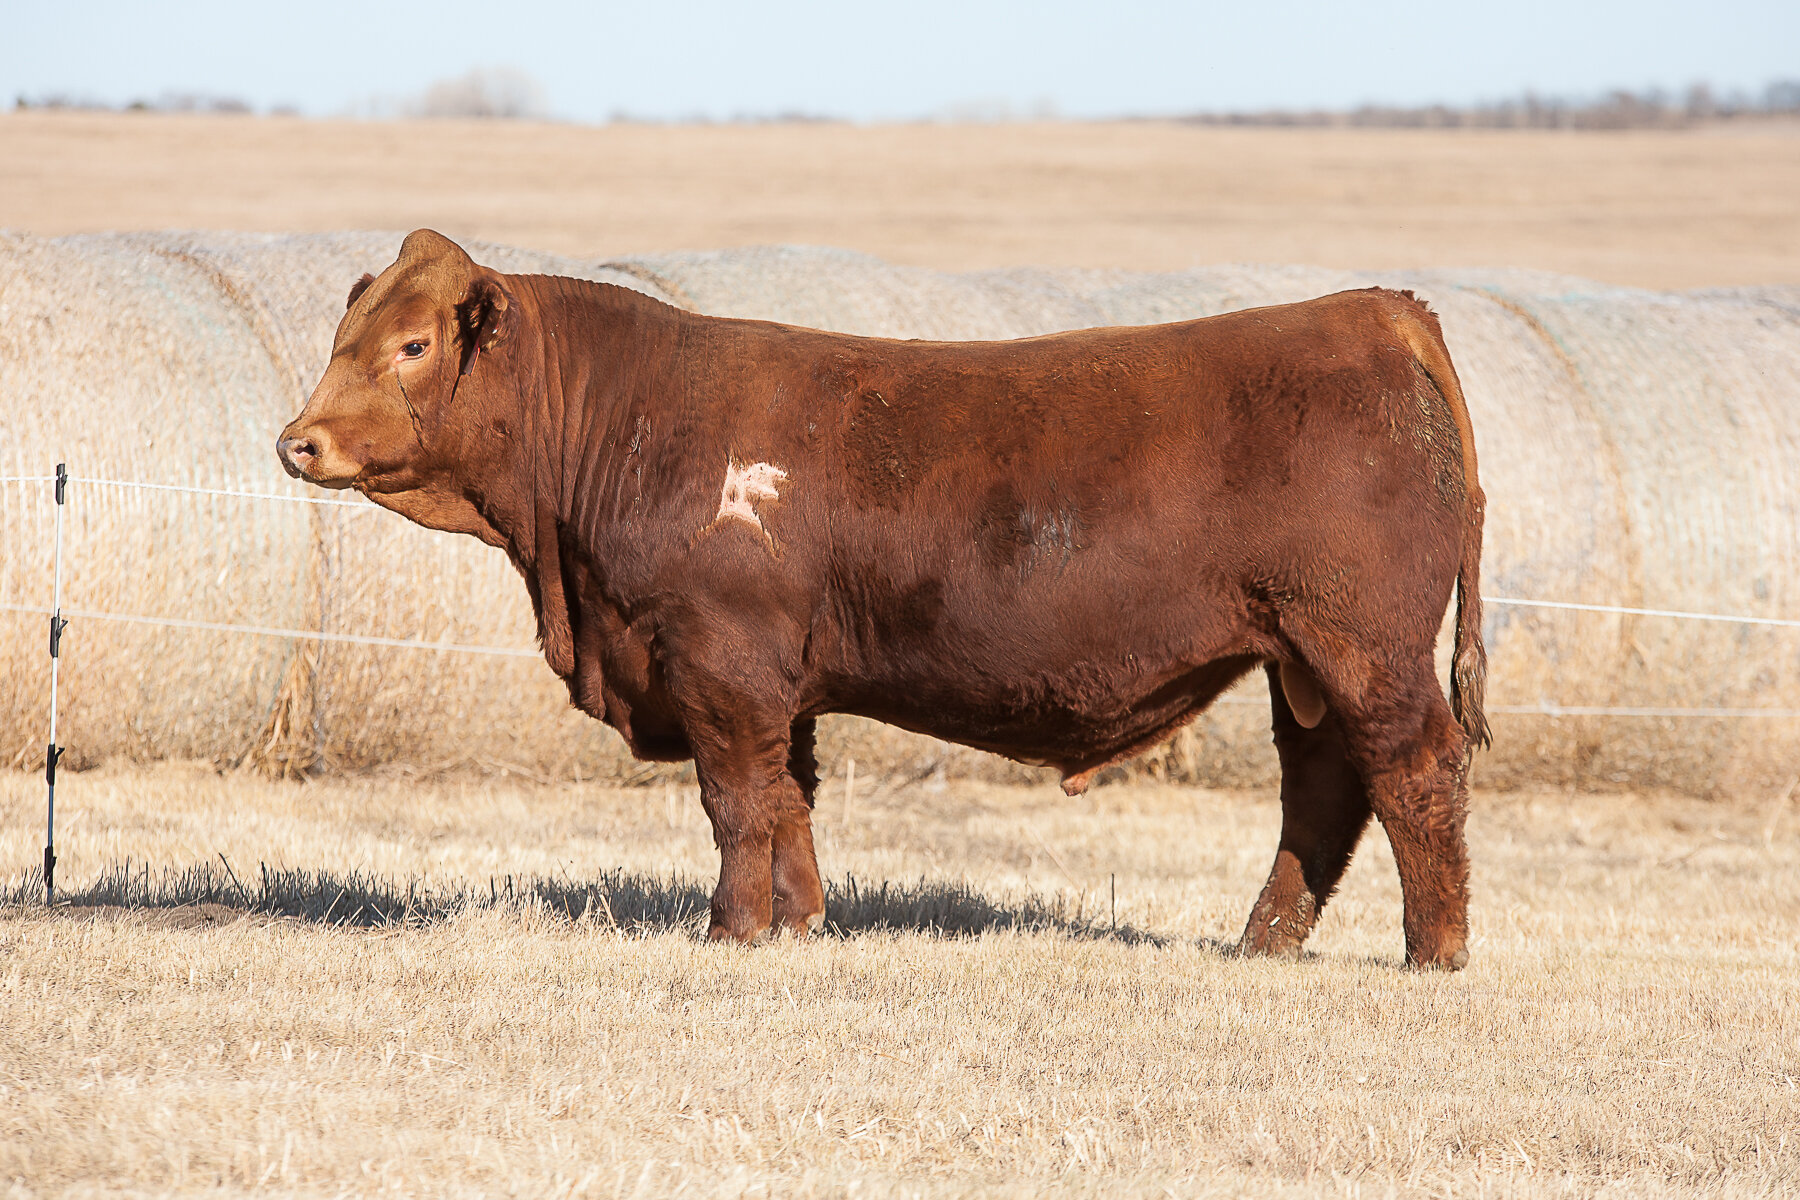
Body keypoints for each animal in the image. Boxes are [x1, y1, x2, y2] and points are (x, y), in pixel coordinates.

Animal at [278, 230, 1488, 969]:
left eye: (413, 345)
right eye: (344, 339)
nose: (298, 441)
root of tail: (1375, 311)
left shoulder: (719, 664)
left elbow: (736, 804)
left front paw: (731, 933)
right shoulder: (778, 686)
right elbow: (790, 802)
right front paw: (803, 926)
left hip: (1363, 643)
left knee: (1415, 771)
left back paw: (1434, 953)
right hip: (1303, 659)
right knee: (1324, 791)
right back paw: (1265, 941)